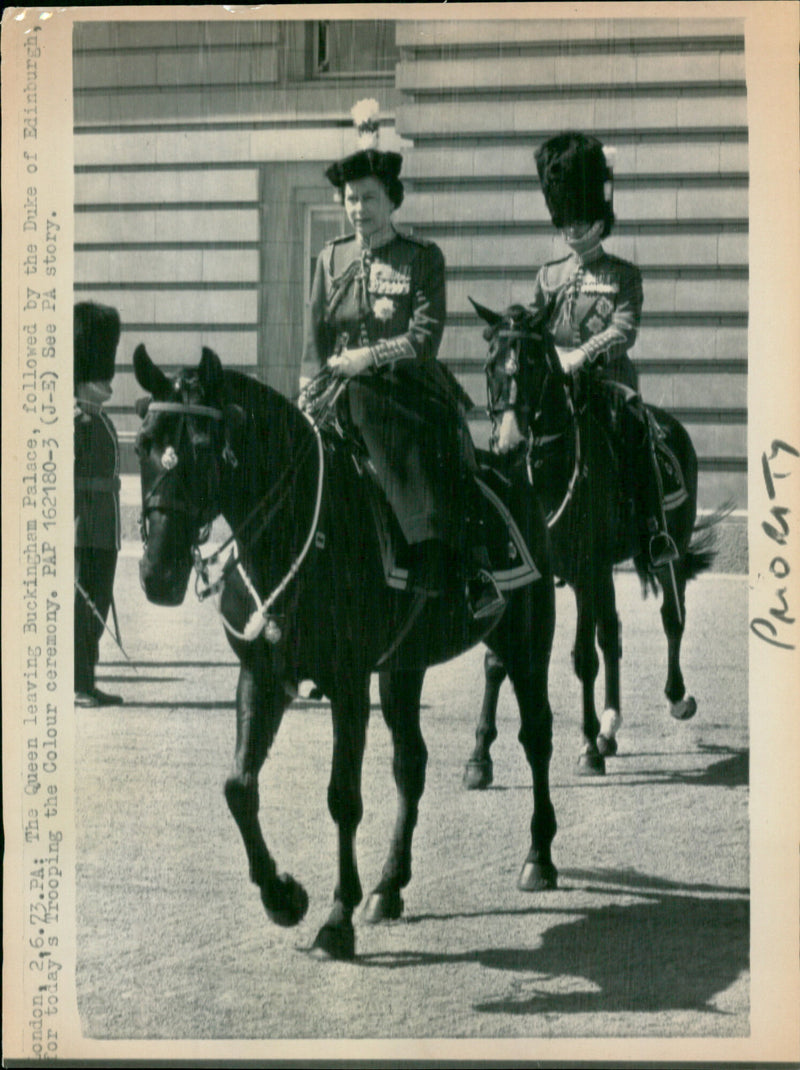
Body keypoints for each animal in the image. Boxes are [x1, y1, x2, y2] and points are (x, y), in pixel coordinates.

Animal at [132, 344, 556, 963]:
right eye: (143, 443)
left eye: (204, 447)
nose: (158, 574)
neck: (297, 533)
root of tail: (509, 470)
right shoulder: (262, 675)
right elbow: (238, 787)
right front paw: (283, 897)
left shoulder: (348, 685)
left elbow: (342, 798)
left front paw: (336, 920)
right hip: (404, 668)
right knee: (411, 764)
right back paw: (389, 885)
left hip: (527, 643)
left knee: (537, 738)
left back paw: (538, 857)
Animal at [459, 303, 722, 787]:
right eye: (489, 365)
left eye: (533, 363)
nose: (509, 443)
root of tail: (670, 422)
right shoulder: (524, 578)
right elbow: (497, 662)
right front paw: (479, 757)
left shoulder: (585, 571)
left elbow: (582, 657)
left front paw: (585, 747)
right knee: (612, 631)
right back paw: (610, 728)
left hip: (666, 549)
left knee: (671, 617)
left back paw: (673, 698)